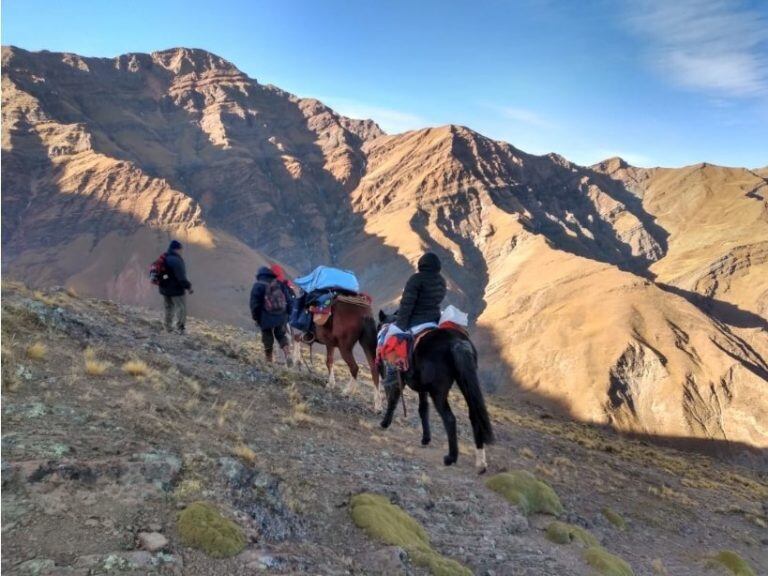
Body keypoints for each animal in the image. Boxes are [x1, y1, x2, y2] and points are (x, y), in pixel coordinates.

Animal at [376, 312, 496, 474]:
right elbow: (423, 409)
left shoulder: (398, 378)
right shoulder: (422, 389)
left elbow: (393, 400)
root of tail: (457, 342)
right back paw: (481, 464)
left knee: (450, 419)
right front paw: (426, 439)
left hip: (438, 392)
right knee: (474, 416)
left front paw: (384, 423)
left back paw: (451, 458)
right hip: (465, 383)